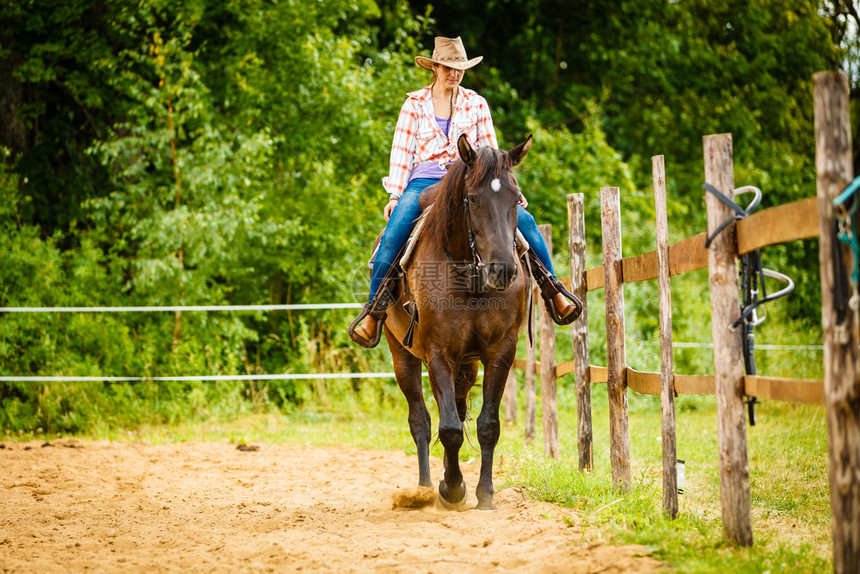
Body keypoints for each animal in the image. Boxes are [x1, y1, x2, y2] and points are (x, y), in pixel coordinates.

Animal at [384, 135, 532, 512]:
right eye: (473, 198)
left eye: (516, 197)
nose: (503, 269)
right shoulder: (439, 352)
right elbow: (448, 428)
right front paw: (451, 490)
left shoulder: (500, 352)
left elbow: (487, 424)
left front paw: (484, 495)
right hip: (403, 356)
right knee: (421, 421)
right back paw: (423, 488)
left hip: (468, 365)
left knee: (460, 409)